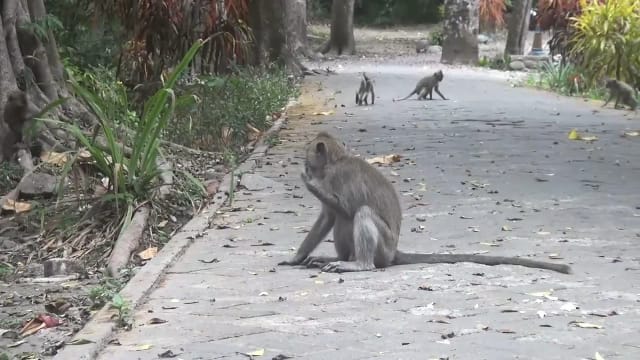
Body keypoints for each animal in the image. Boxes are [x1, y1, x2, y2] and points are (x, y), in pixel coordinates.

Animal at [280, 132, 576, 276]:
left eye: (307, 158)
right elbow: (328, 218)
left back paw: (358, 264)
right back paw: (339, 259)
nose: (304, 166)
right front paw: (296, 258)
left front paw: (310, 184)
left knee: (360, 214)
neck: (336, 162)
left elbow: (346, 210)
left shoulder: (337, 178)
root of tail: (393, 252)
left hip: (383, 248)